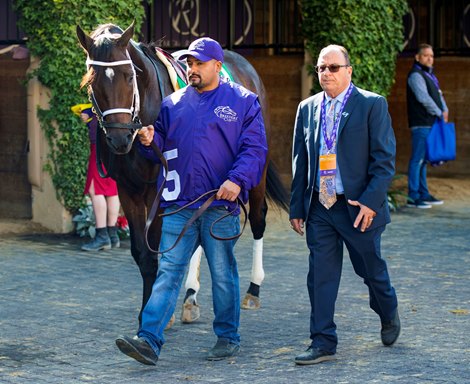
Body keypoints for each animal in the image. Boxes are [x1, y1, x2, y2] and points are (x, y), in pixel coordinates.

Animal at [76, 21, 288, 328]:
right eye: (91, 80)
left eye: (129, 76)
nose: (119, 138)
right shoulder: (128, 189)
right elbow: (142, 252)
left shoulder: (158, 189)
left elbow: (156, 248)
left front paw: (154, 313)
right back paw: (190, 296)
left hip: (254, 167)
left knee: (258, 219)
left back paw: (253, 290)